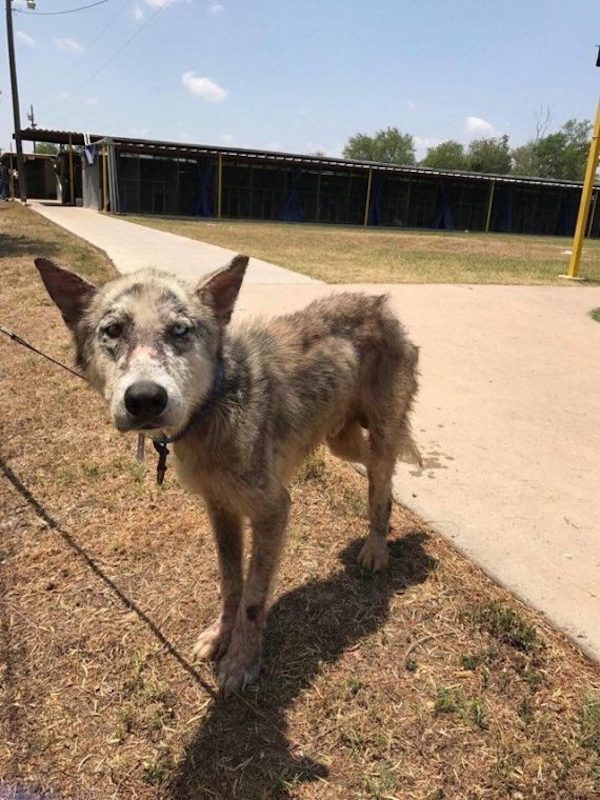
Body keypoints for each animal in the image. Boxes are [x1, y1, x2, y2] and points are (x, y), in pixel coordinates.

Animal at [35, 256, 420, 692]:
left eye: (180, 331)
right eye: (113, 330)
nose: (145, 399)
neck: (213, 405)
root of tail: (380, 303)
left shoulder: (273, 510)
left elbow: (253, 597)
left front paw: (241, 661)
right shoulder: (220, 508)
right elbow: (231, 583)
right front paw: (221, 636)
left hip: (378, 434)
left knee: (383, 478)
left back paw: (376, 547)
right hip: (340, 438)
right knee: (375, 469)